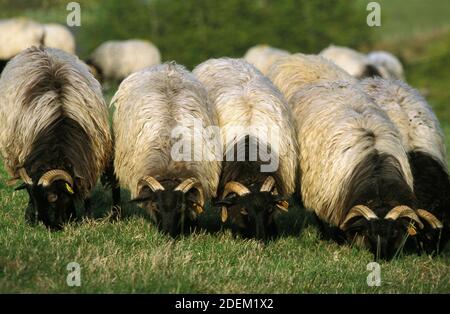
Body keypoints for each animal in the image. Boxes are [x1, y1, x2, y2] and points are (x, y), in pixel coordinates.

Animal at [0, 46, 114, 229]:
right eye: (31, 196)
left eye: (52, 196)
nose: (50, 227)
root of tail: (39, 47)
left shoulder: (88, 162)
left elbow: (86, 194)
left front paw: (83, 217)